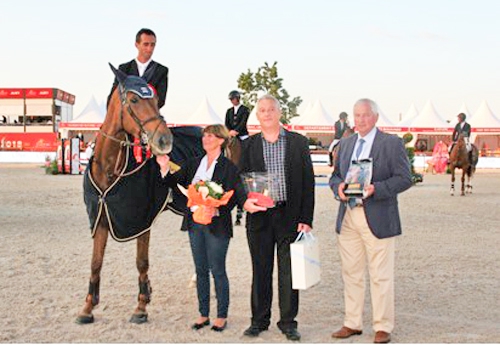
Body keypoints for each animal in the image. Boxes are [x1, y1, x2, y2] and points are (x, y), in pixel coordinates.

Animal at [75, 63, 174, 322]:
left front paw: (141, 306)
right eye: (134, 99)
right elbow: (95, 263)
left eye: (156, 99)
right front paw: (87, 308)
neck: (110, 168)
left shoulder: (142, 221)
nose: (164, 140)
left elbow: (141, 262)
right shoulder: (101, 216)